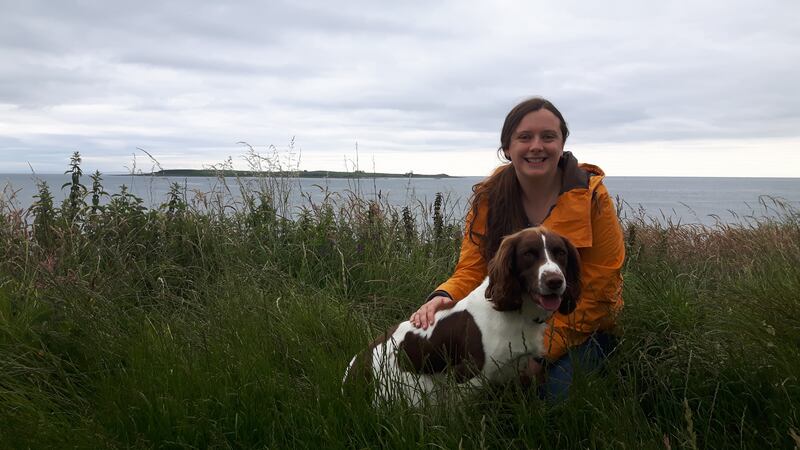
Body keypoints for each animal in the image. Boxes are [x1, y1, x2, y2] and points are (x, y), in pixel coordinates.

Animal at [344, 227, 580, 406]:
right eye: (528, 254)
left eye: (560, 253)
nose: (555, 281)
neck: (516, 312)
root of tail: (352, 372)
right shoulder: (468, 376)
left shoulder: (515, 368)